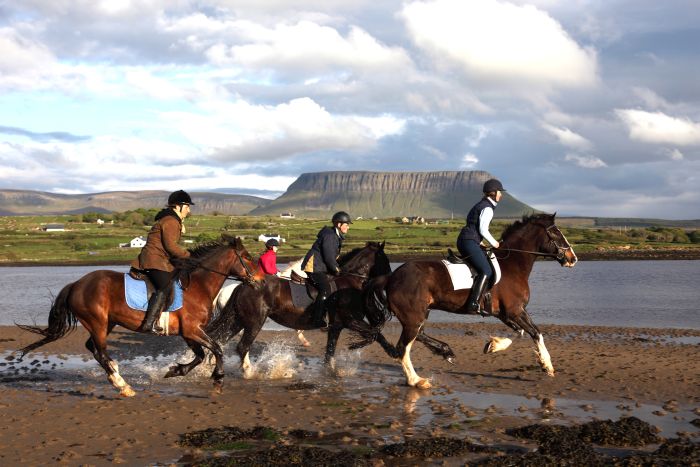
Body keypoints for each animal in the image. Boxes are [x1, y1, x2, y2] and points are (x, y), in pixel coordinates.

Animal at [17, 236, 258, 396]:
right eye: (247, 257)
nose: (260, 280)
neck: (198, 285)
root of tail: (76, 284)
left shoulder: (188, 332)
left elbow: (200, 355)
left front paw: (175, 370)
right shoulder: (192, 330)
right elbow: (216, 349)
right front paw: (218, 379)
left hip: (106, 323)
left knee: (93, 348)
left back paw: (115, 373)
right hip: (97, 322)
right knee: (100, 352)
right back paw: (122, 385)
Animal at [206, 241, 394, 376]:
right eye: (385, 259)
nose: (389, 277)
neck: (349, 282)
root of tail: (242, 286)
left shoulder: (336, 326)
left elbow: (330, 353)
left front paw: (332, 371)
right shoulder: (351, 320)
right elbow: (375, 333)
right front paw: (392, 352)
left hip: (237, 320)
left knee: (219, 340)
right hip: (254, 322)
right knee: (242, 346)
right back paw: (250, 372)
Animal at [358, 214, 576, 390]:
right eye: (555, 233)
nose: (572, 258)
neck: (513, 264)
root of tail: (391, 277)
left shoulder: (504, 313)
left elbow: (520, 332)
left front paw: (493, 345)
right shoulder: (515, 311)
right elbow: (536, 332)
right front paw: (547, 365)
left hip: (419, 314)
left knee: (418, 335)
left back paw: (445, 351)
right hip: (413, 317)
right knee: (403, 348)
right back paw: (417, 380)